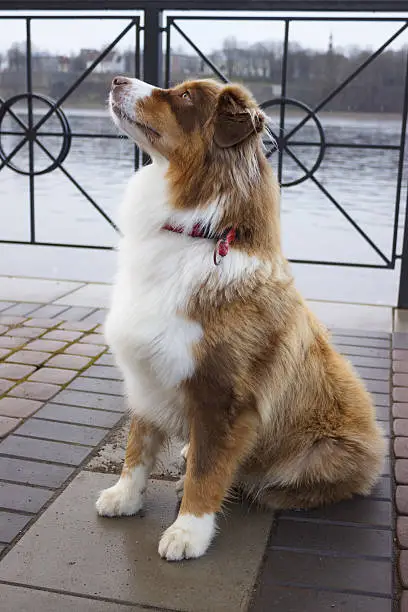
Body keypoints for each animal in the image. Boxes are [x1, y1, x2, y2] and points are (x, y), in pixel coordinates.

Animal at [95, 75, 386, 560]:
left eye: (185, 97)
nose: (117, 80)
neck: (198, 232)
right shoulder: (147, 371)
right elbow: (139, 443)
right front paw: (126, 496)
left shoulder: (225, 395)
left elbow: (207, 471)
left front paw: (189, 531)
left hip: (324, 451)